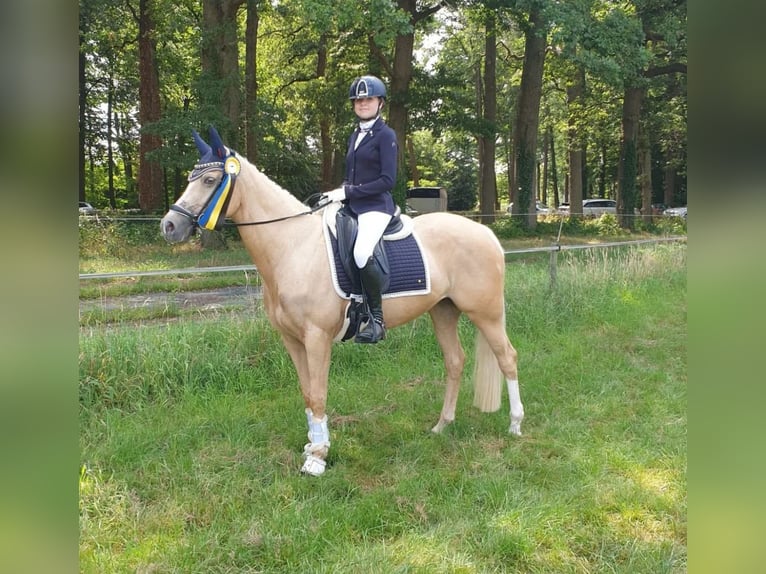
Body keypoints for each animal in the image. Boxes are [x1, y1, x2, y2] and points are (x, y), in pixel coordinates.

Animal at [160, 128, 524, 480]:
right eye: (192, 177)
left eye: (210, 180)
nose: (169, 226)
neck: (291, 247)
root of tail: (486, 233)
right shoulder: (292, 339)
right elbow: (308, 393)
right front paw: (312, 446)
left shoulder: (317, 337)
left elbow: (319, 393)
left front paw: (318, 459)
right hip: (443, 310)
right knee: (455, 361)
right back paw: (442, 426)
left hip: (486, 312)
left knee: (507, 357)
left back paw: (515, 426)